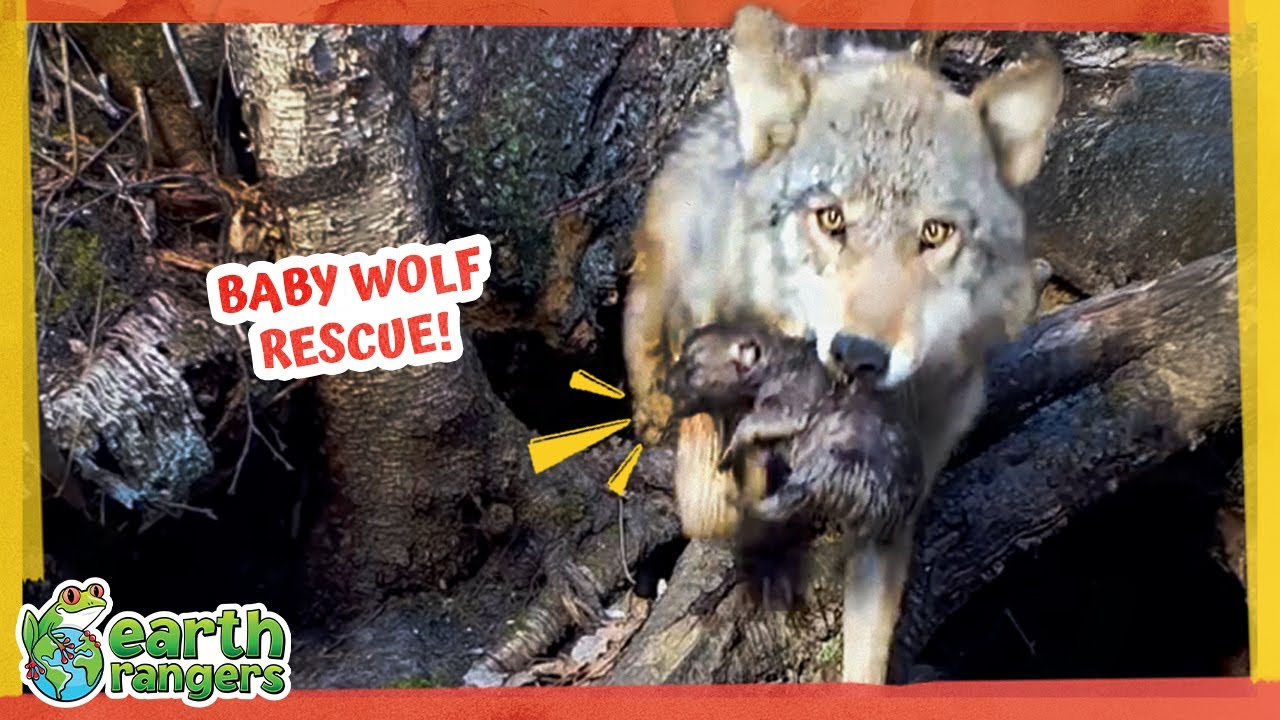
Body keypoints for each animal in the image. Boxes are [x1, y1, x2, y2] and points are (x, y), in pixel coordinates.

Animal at [622, 5, 1063, 684]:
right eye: (831, 219)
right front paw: (752, 540)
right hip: (664, 265)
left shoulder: (898, 508)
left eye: (935, 233)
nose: (860, 354)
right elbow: (713, 503)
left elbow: (868, 650)